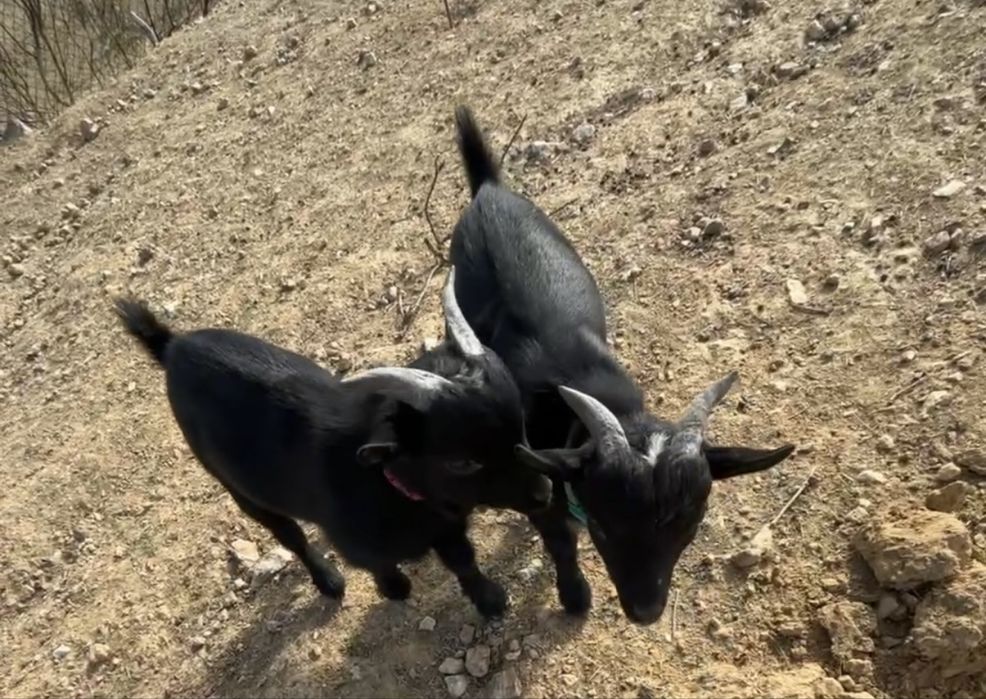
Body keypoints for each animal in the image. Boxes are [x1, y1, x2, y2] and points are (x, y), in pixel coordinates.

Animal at [115, 269, 552, 617]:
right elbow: (378, 564)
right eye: (463, 462)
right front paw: (395, 588)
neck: (386, 484)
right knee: (289, 536)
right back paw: (328, 582)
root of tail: (172, 347)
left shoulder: (444, 525)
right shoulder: (359, 542)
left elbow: (463, 561)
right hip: (241, 490)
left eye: (521, 427)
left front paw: (490, 600)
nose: (543, 492)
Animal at [447, 107, 795, 625]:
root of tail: (487, 189)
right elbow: (559, 541)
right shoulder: (537, 487)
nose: (646, 610)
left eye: (688, 527)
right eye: (604, 527)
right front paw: (575, 597)